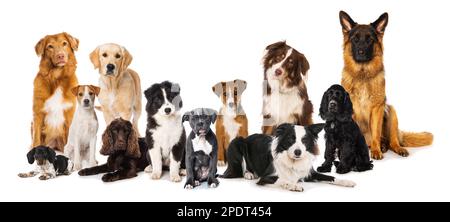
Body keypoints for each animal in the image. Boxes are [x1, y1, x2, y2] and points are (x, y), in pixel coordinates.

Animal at [221, 122, 356, 192]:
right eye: (291, 139)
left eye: (304, 140)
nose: (298, 152)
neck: (293, 162)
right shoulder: (266, 177)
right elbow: (283, 180)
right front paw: (294, 185)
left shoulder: (309, 173)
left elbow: (330, 177)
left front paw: (346, 181)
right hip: (236, 142)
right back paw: (249, 174)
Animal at [342, 10, 432, 160]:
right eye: (355, 39)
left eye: (370, 40)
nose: (361, 52)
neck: (363, 75)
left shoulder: (377, 108)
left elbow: (376, 132)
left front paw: (376, 151)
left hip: (391, 111)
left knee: (392, 141)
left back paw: (394, 148)